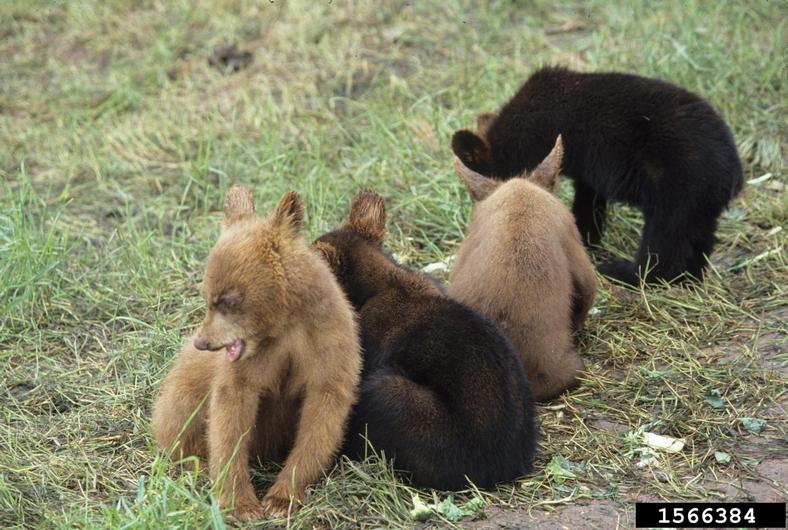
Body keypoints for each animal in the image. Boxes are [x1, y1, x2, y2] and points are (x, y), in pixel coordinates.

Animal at [151, 186, 361, 521]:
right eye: (206, 297)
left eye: (227, 300)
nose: (202, 343)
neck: (284, 325)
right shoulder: (249, 365)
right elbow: (230, 416)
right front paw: (241, 504)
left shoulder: (328, 343)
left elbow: (322, 417)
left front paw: (282, 498)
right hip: (181, 394)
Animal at [452, 66, 744, 285]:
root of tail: (734, 173)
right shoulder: (587, 169)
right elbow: (589, 198)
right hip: (700, 202)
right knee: (698, 234)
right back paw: (691, 275)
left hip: (677, 186)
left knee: (665, 236)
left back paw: (625, 272)